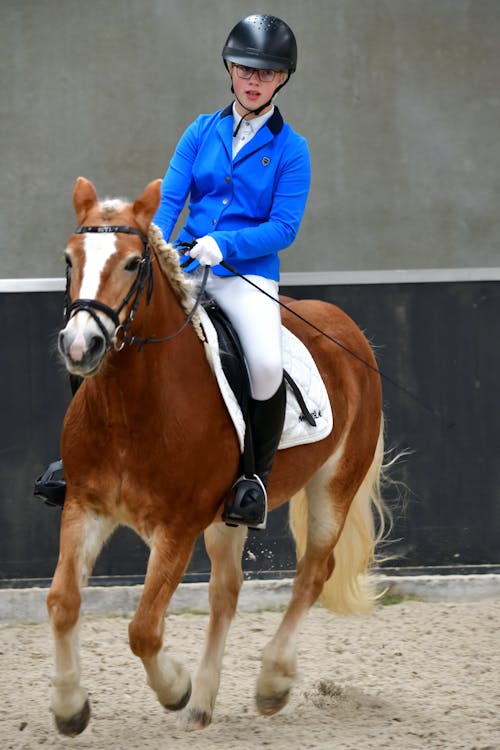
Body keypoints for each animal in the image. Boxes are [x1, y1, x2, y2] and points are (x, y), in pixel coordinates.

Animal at [47, 179, 386, 736]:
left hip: (334, 484)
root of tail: (347, 327)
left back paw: (270, 683)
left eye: (133, 263)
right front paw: (70, 707)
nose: (81, 346)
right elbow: (62, 602)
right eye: (70, 258)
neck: (130, 408)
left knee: (313, 573)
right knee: (227, 592)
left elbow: (144, 627)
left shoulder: (178, 527)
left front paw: (174, 689)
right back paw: (204, 703)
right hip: (228, 516)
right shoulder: (84, 507)